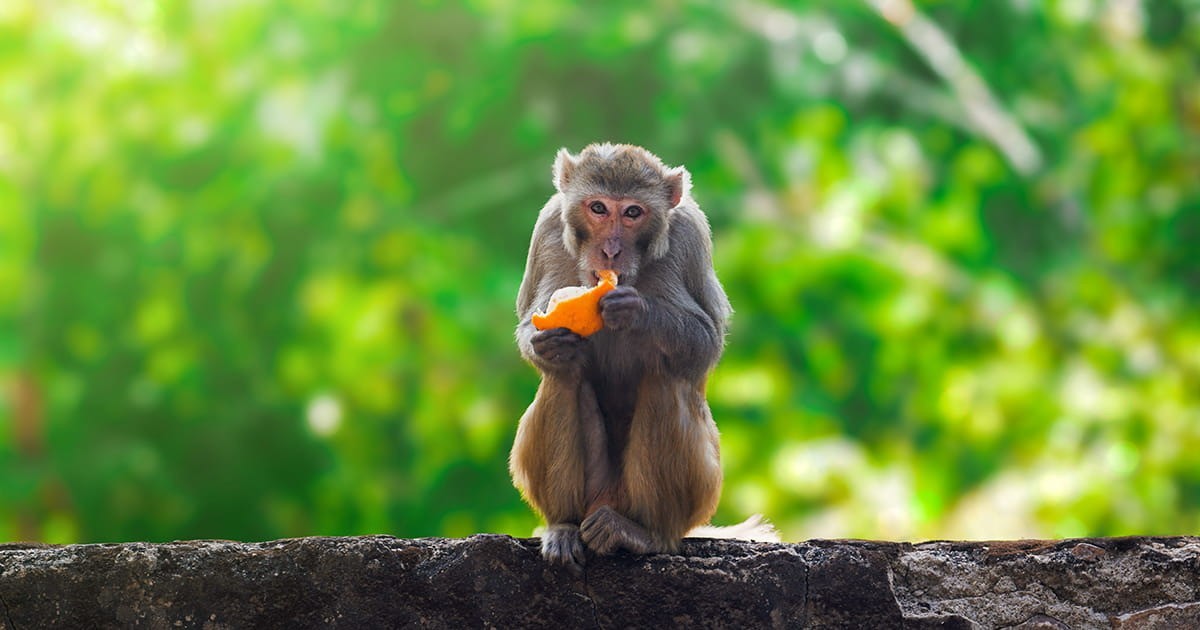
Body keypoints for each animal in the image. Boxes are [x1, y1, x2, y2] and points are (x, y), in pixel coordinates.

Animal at [508, 142, 772, 568]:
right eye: (598, 208)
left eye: (633, 212)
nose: (610, 250)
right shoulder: (547, 227)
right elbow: (532, 320)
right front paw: (545, 342)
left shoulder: (690, 234)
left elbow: (706, 341)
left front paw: (637, 312)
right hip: (595, 491)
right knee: (564, 376)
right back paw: (563, 526)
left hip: (696, 494)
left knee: (663, 372)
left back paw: (645, 534)